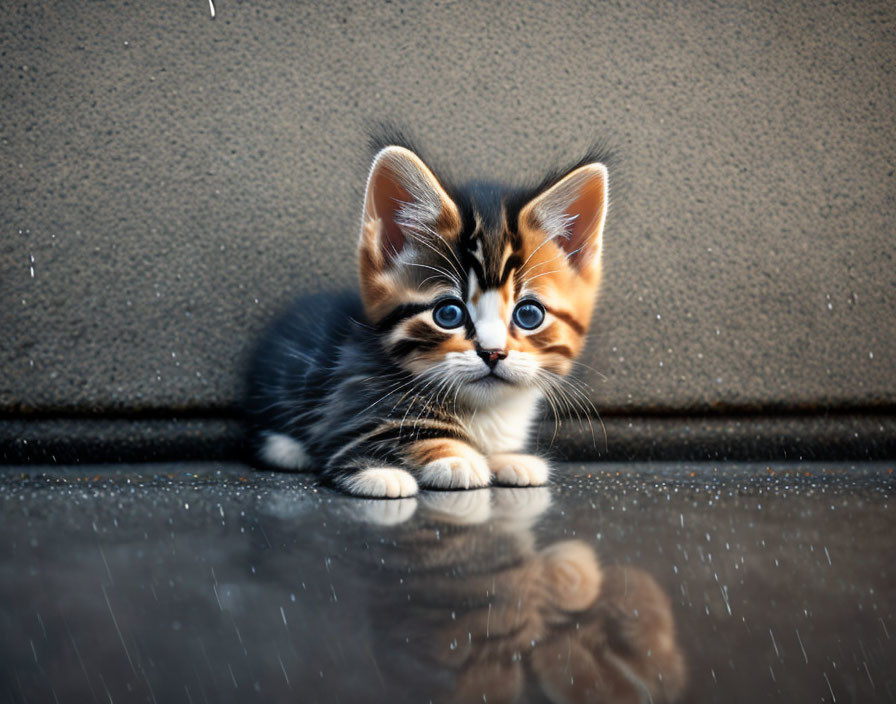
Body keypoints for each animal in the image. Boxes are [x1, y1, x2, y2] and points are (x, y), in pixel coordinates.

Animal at [245, 140, 608, 498]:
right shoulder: (343, 410)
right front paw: (452, 459)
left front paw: (509, 458)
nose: (492, 353)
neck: (483, 412)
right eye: (448, 314)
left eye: (529, 314)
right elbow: (387, 436)